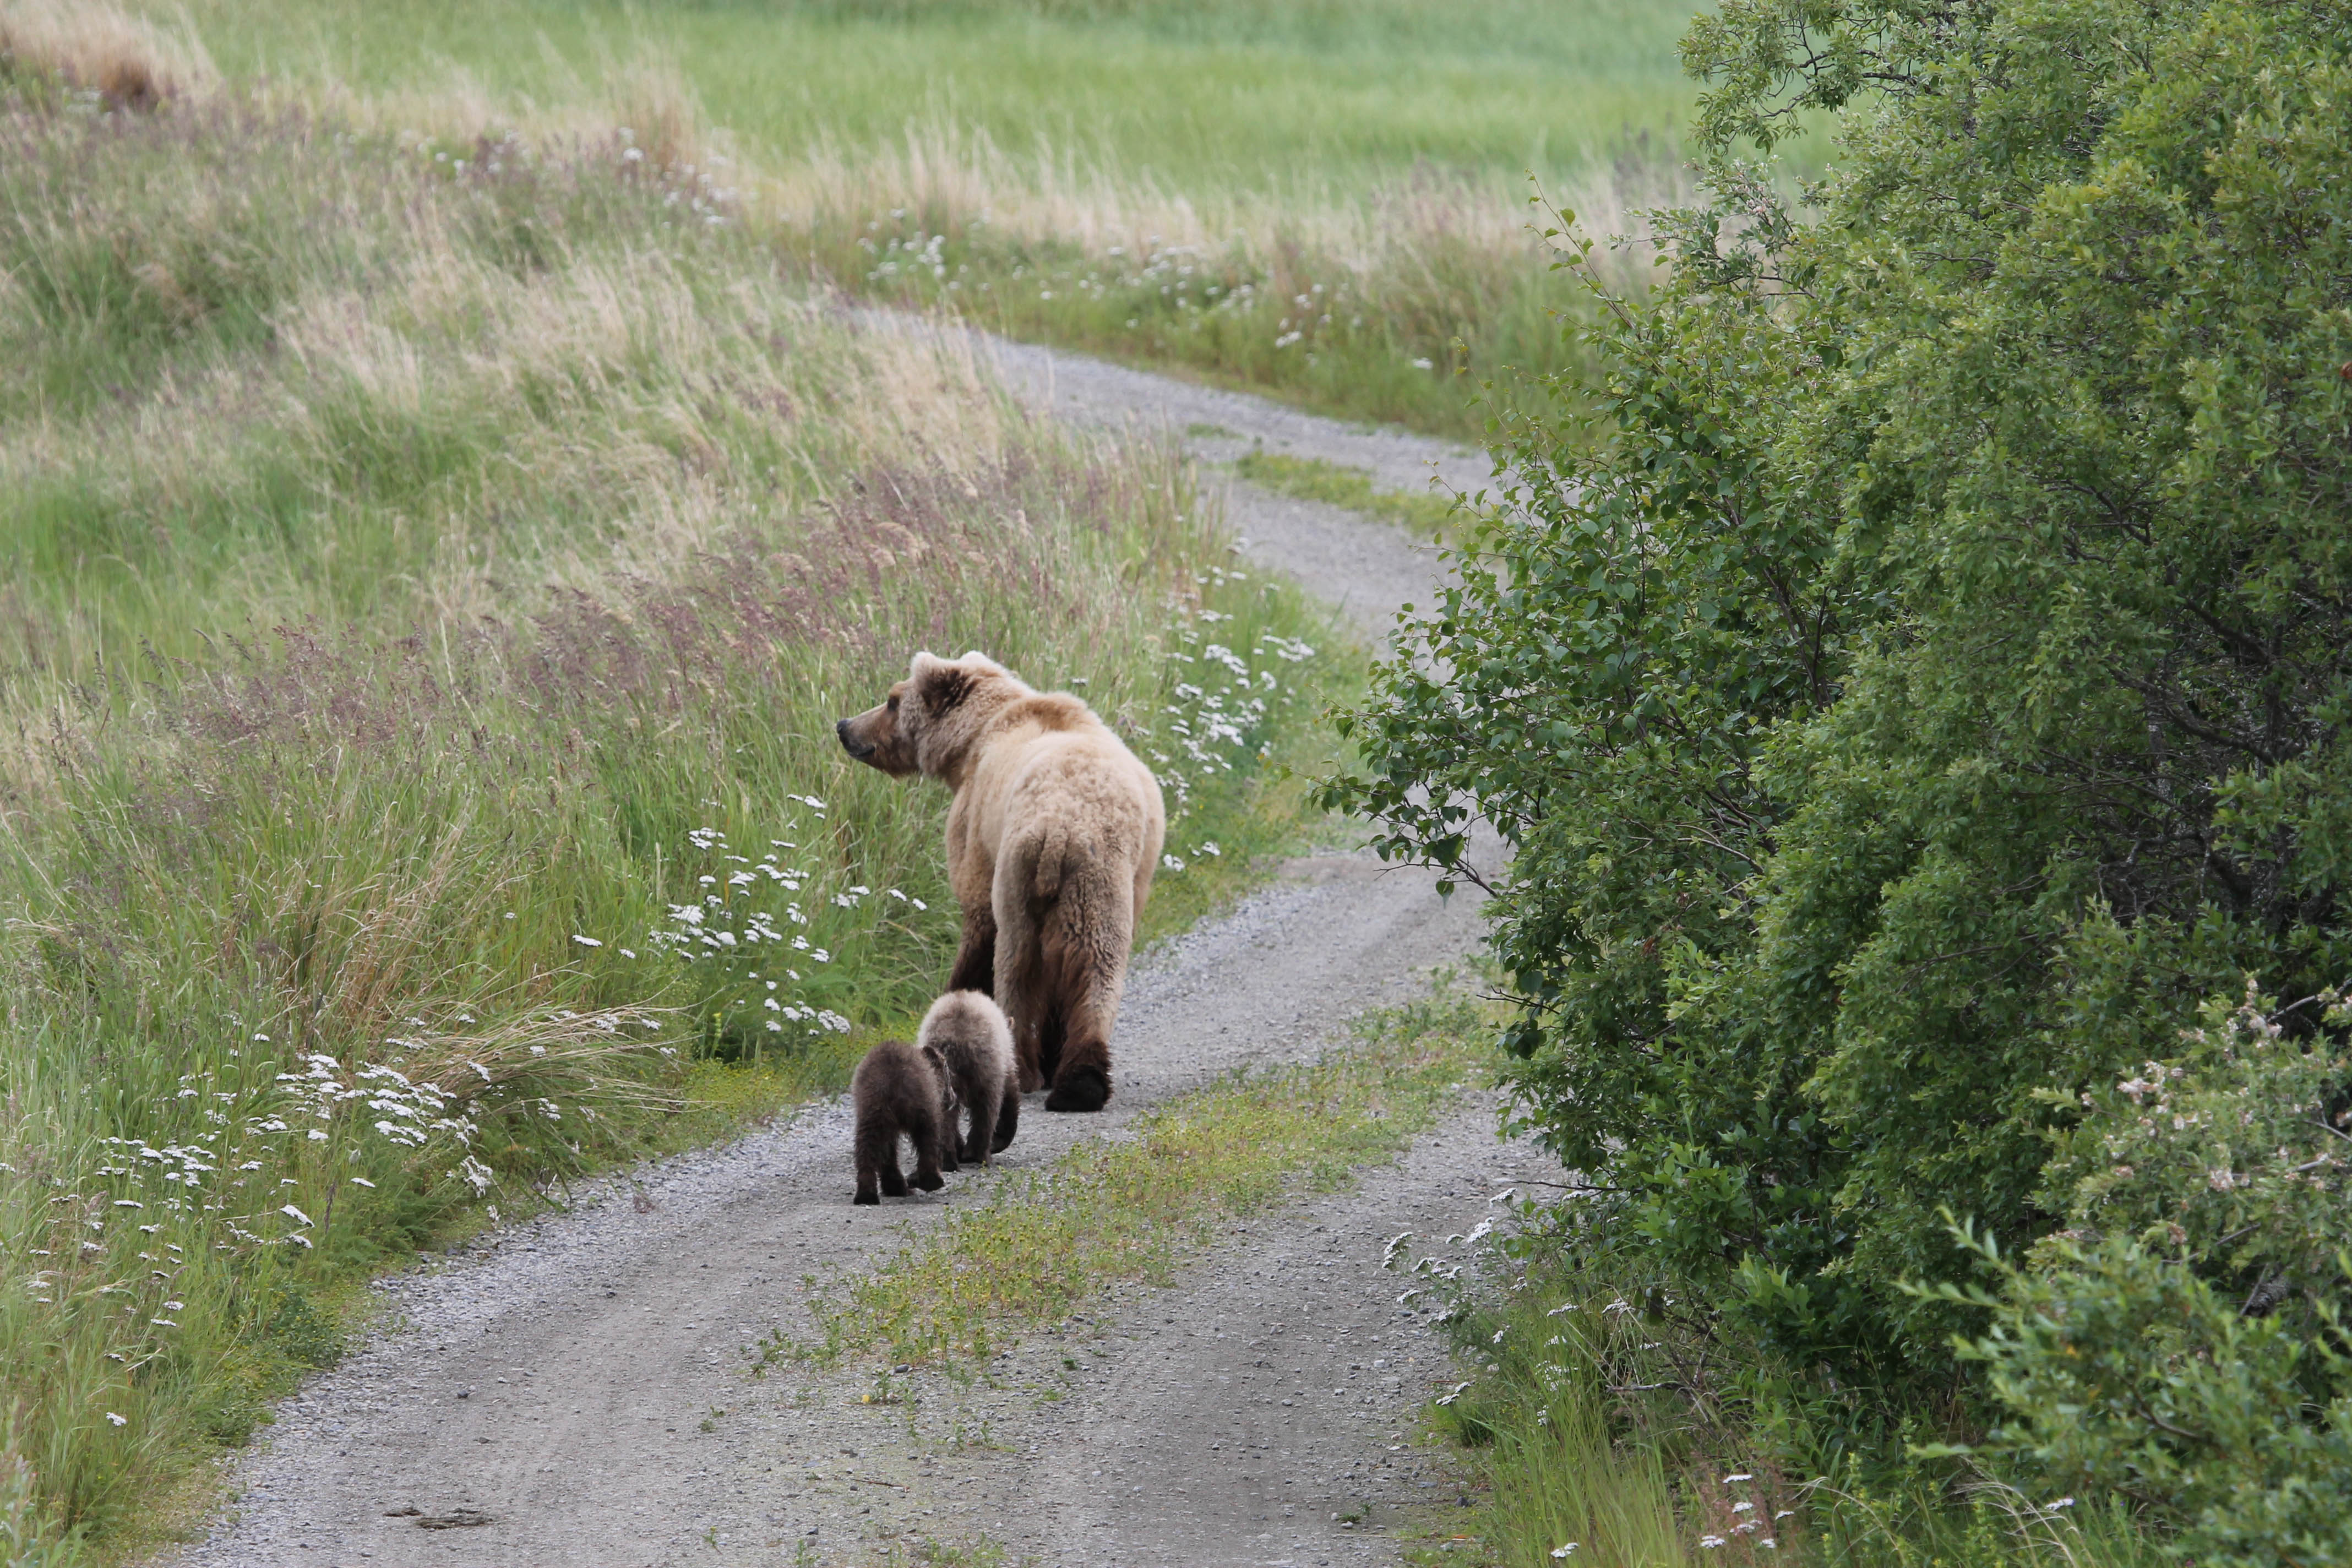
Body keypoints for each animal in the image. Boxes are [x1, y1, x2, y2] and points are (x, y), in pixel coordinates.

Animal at [837, 651, 1165, 1112]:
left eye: (891, 701)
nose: (845, 726)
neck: (974, 740)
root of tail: (1066, 823)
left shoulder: (974, 830)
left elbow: (976, 920)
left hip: (1020, 869)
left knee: (1016, 960)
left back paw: (1023, 1067)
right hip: (1102, 880)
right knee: (1098, 965)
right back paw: (1082, 1080)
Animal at [851, 1038, 958, 1204]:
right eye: (948, 1074)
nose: (954, 1097)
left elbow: (888, 1150)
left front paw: (894, 1186)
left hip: (871, 1107)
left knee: (867, 1143)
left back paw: (867, 1194)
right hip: (921, 1102)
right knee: (928, 1137)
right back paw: (929, 1181)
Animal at [919, 989, 1019, 1164]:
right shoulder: (1003, 1063)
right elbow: (1009, 1097)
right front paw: (998, 1141)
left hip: (940, 1071)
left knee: (945, 1112)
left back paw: (949, 1157)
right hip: (985, 1064)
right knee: (987, 1109)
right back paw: (978, 1153)